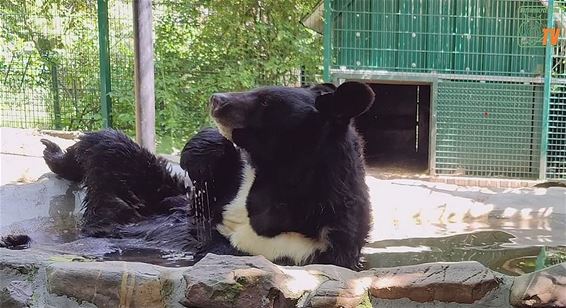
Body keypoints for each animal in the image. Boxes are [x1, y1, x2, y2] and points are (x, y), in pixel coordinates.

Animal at [40, 81, 378, 270]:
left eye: (265, 101)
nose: (217, 99)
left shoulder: (297, 246)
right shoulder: (227, 197)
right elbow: (211, 188)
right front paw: (200, 152)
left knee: (111, 151)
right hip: (152, 198)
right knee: (111, 147)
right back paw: (54, 153)